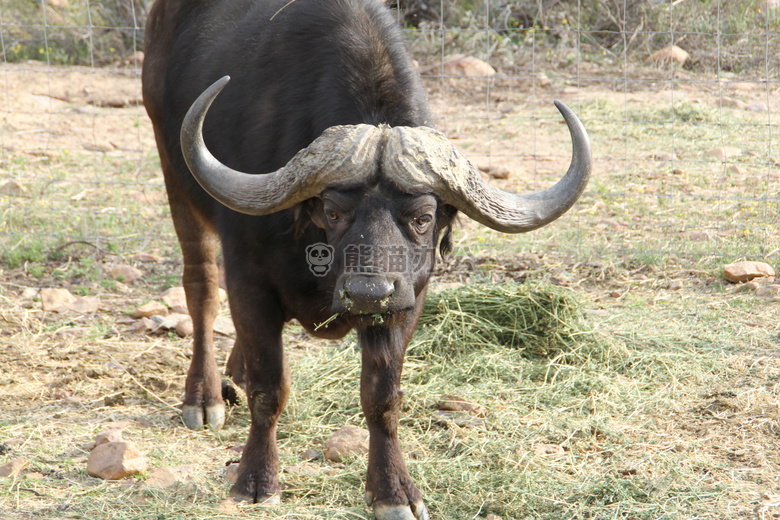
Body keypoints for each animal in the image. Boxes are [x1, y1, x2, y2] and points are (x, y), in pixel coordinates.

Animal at [143, 0, 592, 516]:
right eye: (333, 211)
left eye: (423, 217)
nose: (367, 292)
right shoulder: (248, 278)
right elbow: (268, 388)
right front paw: (256, 479)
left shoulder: (406, 301)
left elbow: (382, 397)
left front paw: (393, 490)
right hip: (174, 176)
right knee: (200, 288)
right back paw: (203, 396)